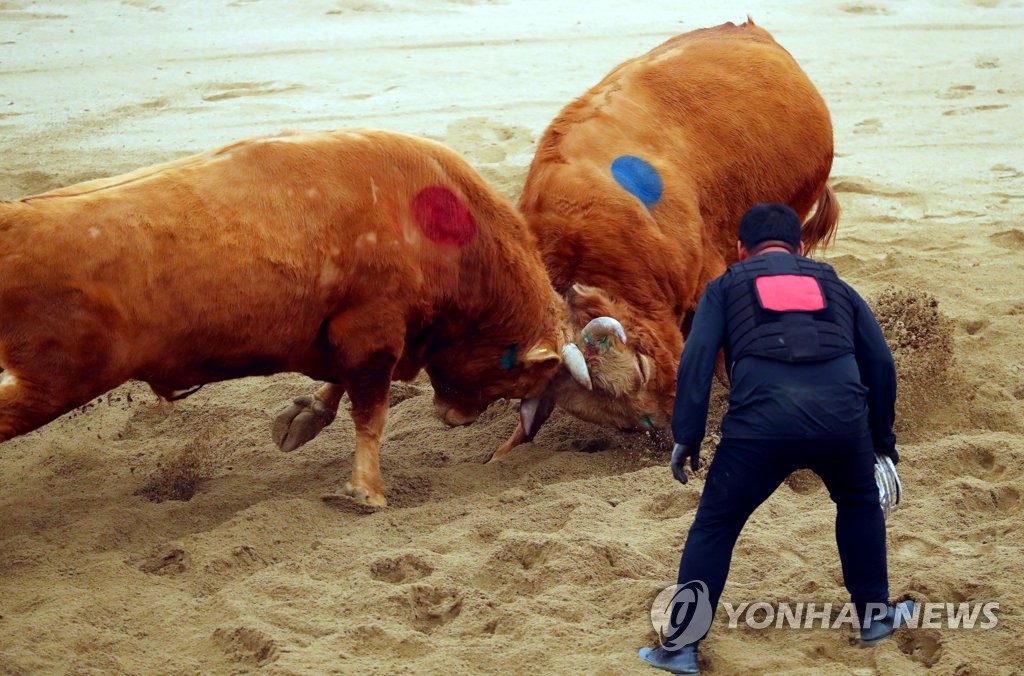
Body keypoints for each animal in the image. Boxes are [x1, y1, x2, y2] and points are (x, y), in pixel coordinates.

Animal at [0, 128, 565, 508]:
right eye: (515, 380)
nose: (456, 419)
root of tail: (14, 217)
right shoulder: (374, 330)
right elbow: (371, 410)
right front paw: (365, 490)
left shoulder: (347, 336)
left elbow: (339, 386)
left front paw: (305, 415)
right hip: (52, 381)